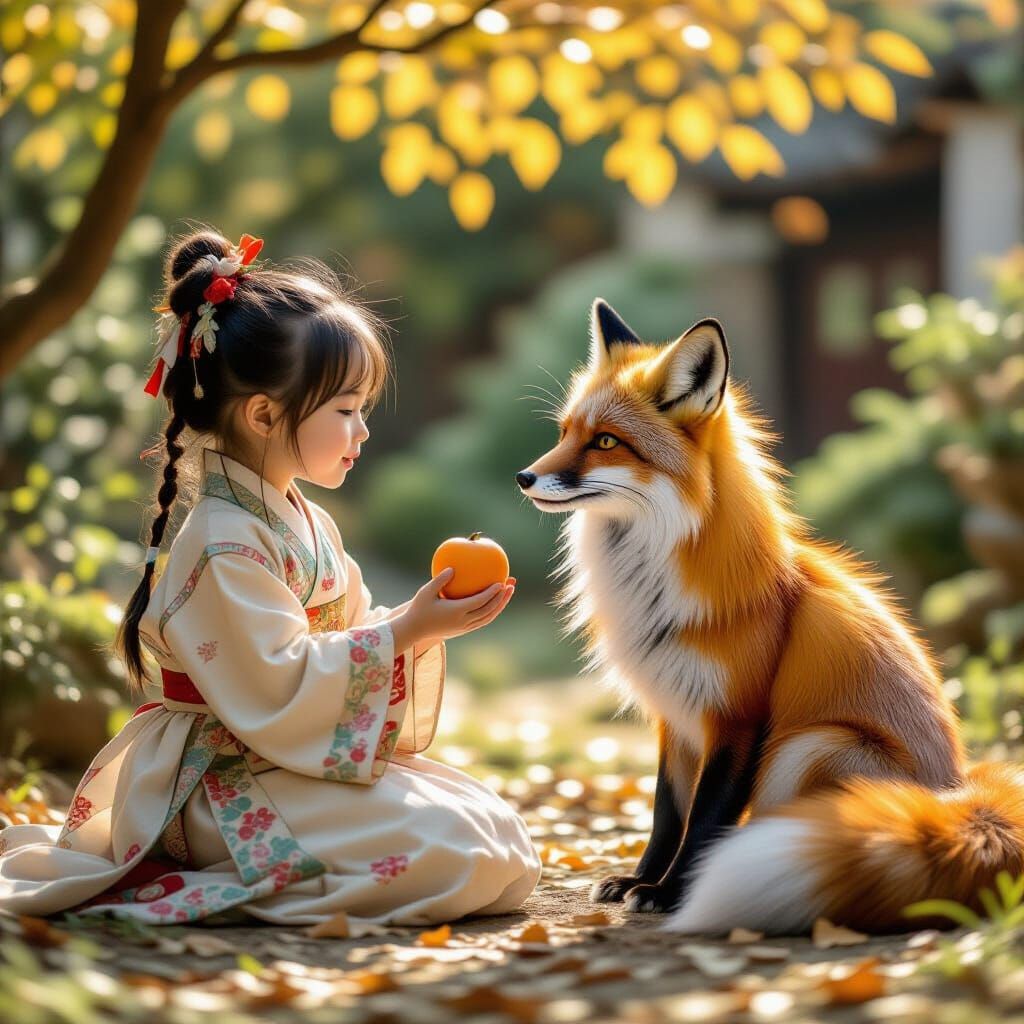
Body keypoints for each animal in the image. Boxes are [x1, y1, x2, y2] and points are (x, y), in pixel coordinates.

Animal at [514, 297, 1024, 935]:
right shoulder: (674, 716)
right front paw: (639, 879)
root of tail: (958, 798)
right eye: (564, 433)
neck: (651, 590)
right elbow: (665, 813)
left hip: (811, 746)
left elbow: (705, 819)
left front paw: (670, 892)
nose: (524, 477)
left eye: (606, 441)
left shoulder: (738, 718)